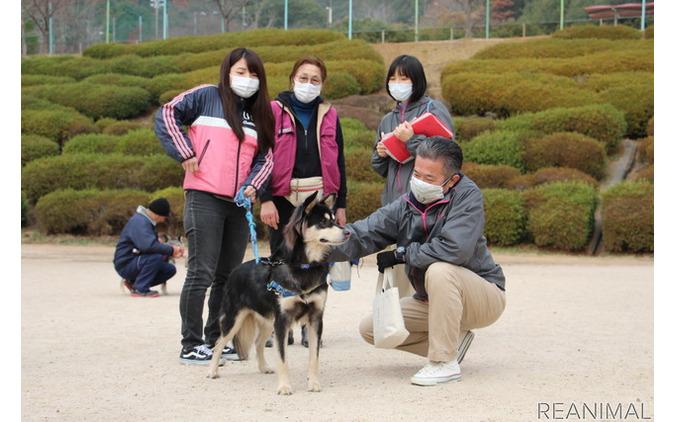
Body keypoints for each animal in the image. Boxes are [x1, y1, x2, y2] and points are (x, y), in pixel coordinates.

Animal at [209, 193, 352, 394]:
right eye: (323, 222)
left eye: (334, 220)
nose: (348, 232)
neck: (304, 266)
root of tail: (235, 270)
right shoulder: (283, 320)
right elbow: (282, 358)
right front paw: (284, 386)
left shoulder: (315, 318)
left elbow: (314, 357)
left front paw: (314, 383)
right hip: (234, 319)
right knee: (218, 343)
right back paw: (212, 370)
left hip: (268, 320)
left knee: (258, 343)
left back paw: (263, 367)